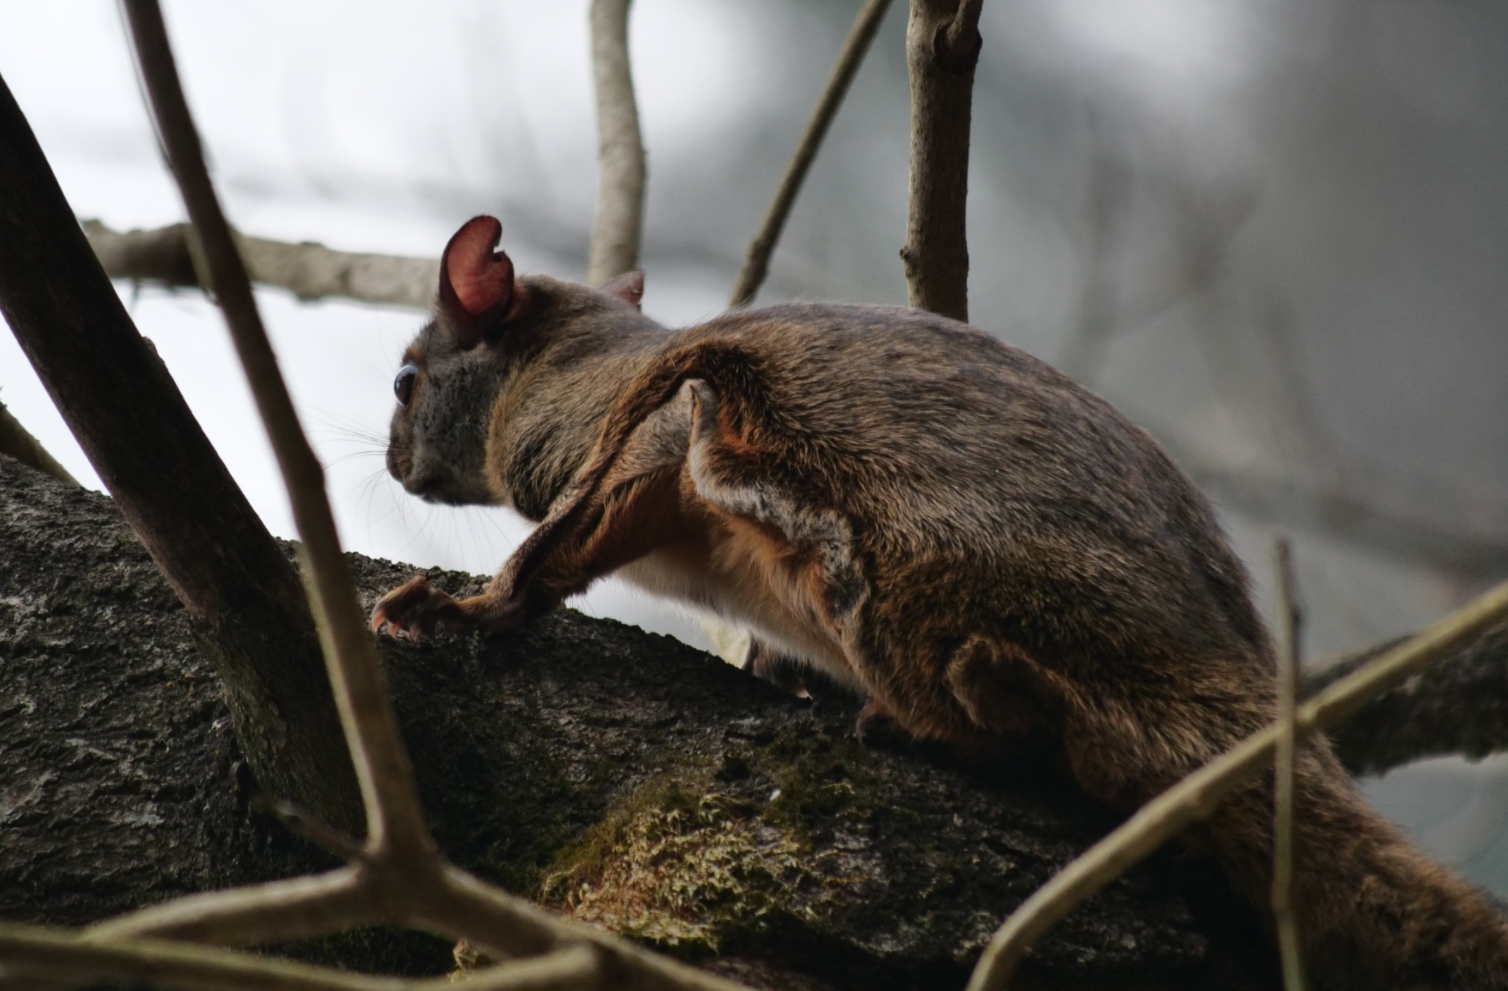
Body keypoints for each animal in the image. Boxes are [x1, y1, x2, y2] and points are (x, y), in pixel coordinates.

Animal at [373, 212, 1508, 983]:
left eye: (405, 379)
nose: (389, 464)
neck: (579, 361)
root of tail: (1217, 681)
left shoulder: (640, 437)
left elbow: (564, 539)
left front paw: (467, 609)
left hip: (907, 592)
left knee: (1019, 724)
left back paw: (939, 720)